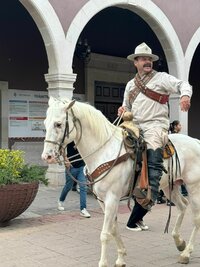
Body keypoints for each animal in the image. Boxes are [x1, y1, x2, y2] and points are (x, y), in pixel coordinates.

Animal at [41, 97, 200, 266]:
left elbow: (105, 234)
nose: (47, 156)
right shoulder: (103, 201)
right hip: (169, 187)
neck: (104, 151)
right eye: (45, 123)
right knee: (182, 206)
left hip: (193, 187)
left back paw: (187, 253)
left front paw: (103, 263)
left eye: (58, 124)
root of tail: (196, 141)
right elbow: (113, 229)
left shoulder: (112, 198)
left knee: (196, 219)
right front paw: (121, 257)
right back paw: (180, 242)